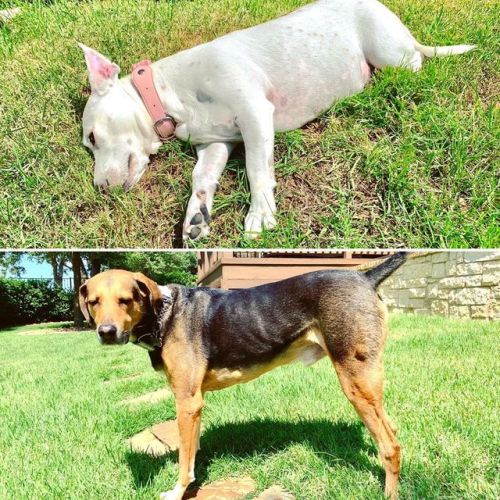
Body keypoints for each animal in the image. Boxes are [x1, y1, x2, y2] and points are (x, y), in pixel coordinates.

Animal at [79, 256, 406, 498]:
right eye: (94, 301)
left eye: (125, 300)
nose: (106, 333)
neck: (165, 314)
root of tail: (366, 276)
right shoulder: (195, 403)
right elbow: (191, 450)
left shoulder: (186, 402)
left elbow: (184, 461)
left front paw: (178, 491)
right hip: (367, 385)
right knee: (390, 431)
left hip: (355, 381)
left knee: (391, 447)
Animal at [80, 0, 474, 240]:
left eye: (93, 138)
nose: (99, 188)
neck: (167, 92)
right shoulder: (216, 143)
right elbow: (201, 176)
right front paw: (196, 217)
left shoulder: (254, 112)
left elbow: (257, 168)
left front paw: (259, 217)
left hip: (390, 53)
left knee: (414, 65)